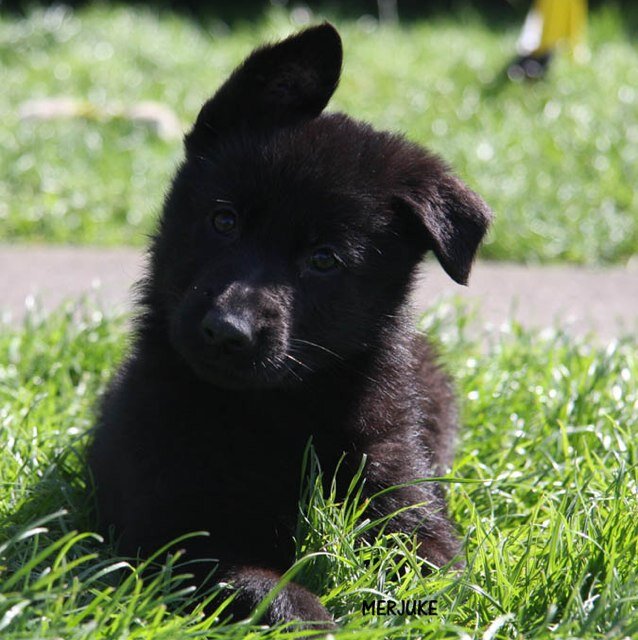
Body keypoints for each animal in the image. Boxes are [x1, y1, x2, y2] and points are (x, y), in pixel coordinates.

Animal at [87, 23, 492, 624]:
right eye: (224, 220)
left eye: (324, 259)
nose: (227, 330)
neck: (274, 411)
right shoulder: (170, 528)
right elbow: (255, 582)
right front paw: (314, 617)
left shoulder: (397, 476)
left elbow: (440, 570)